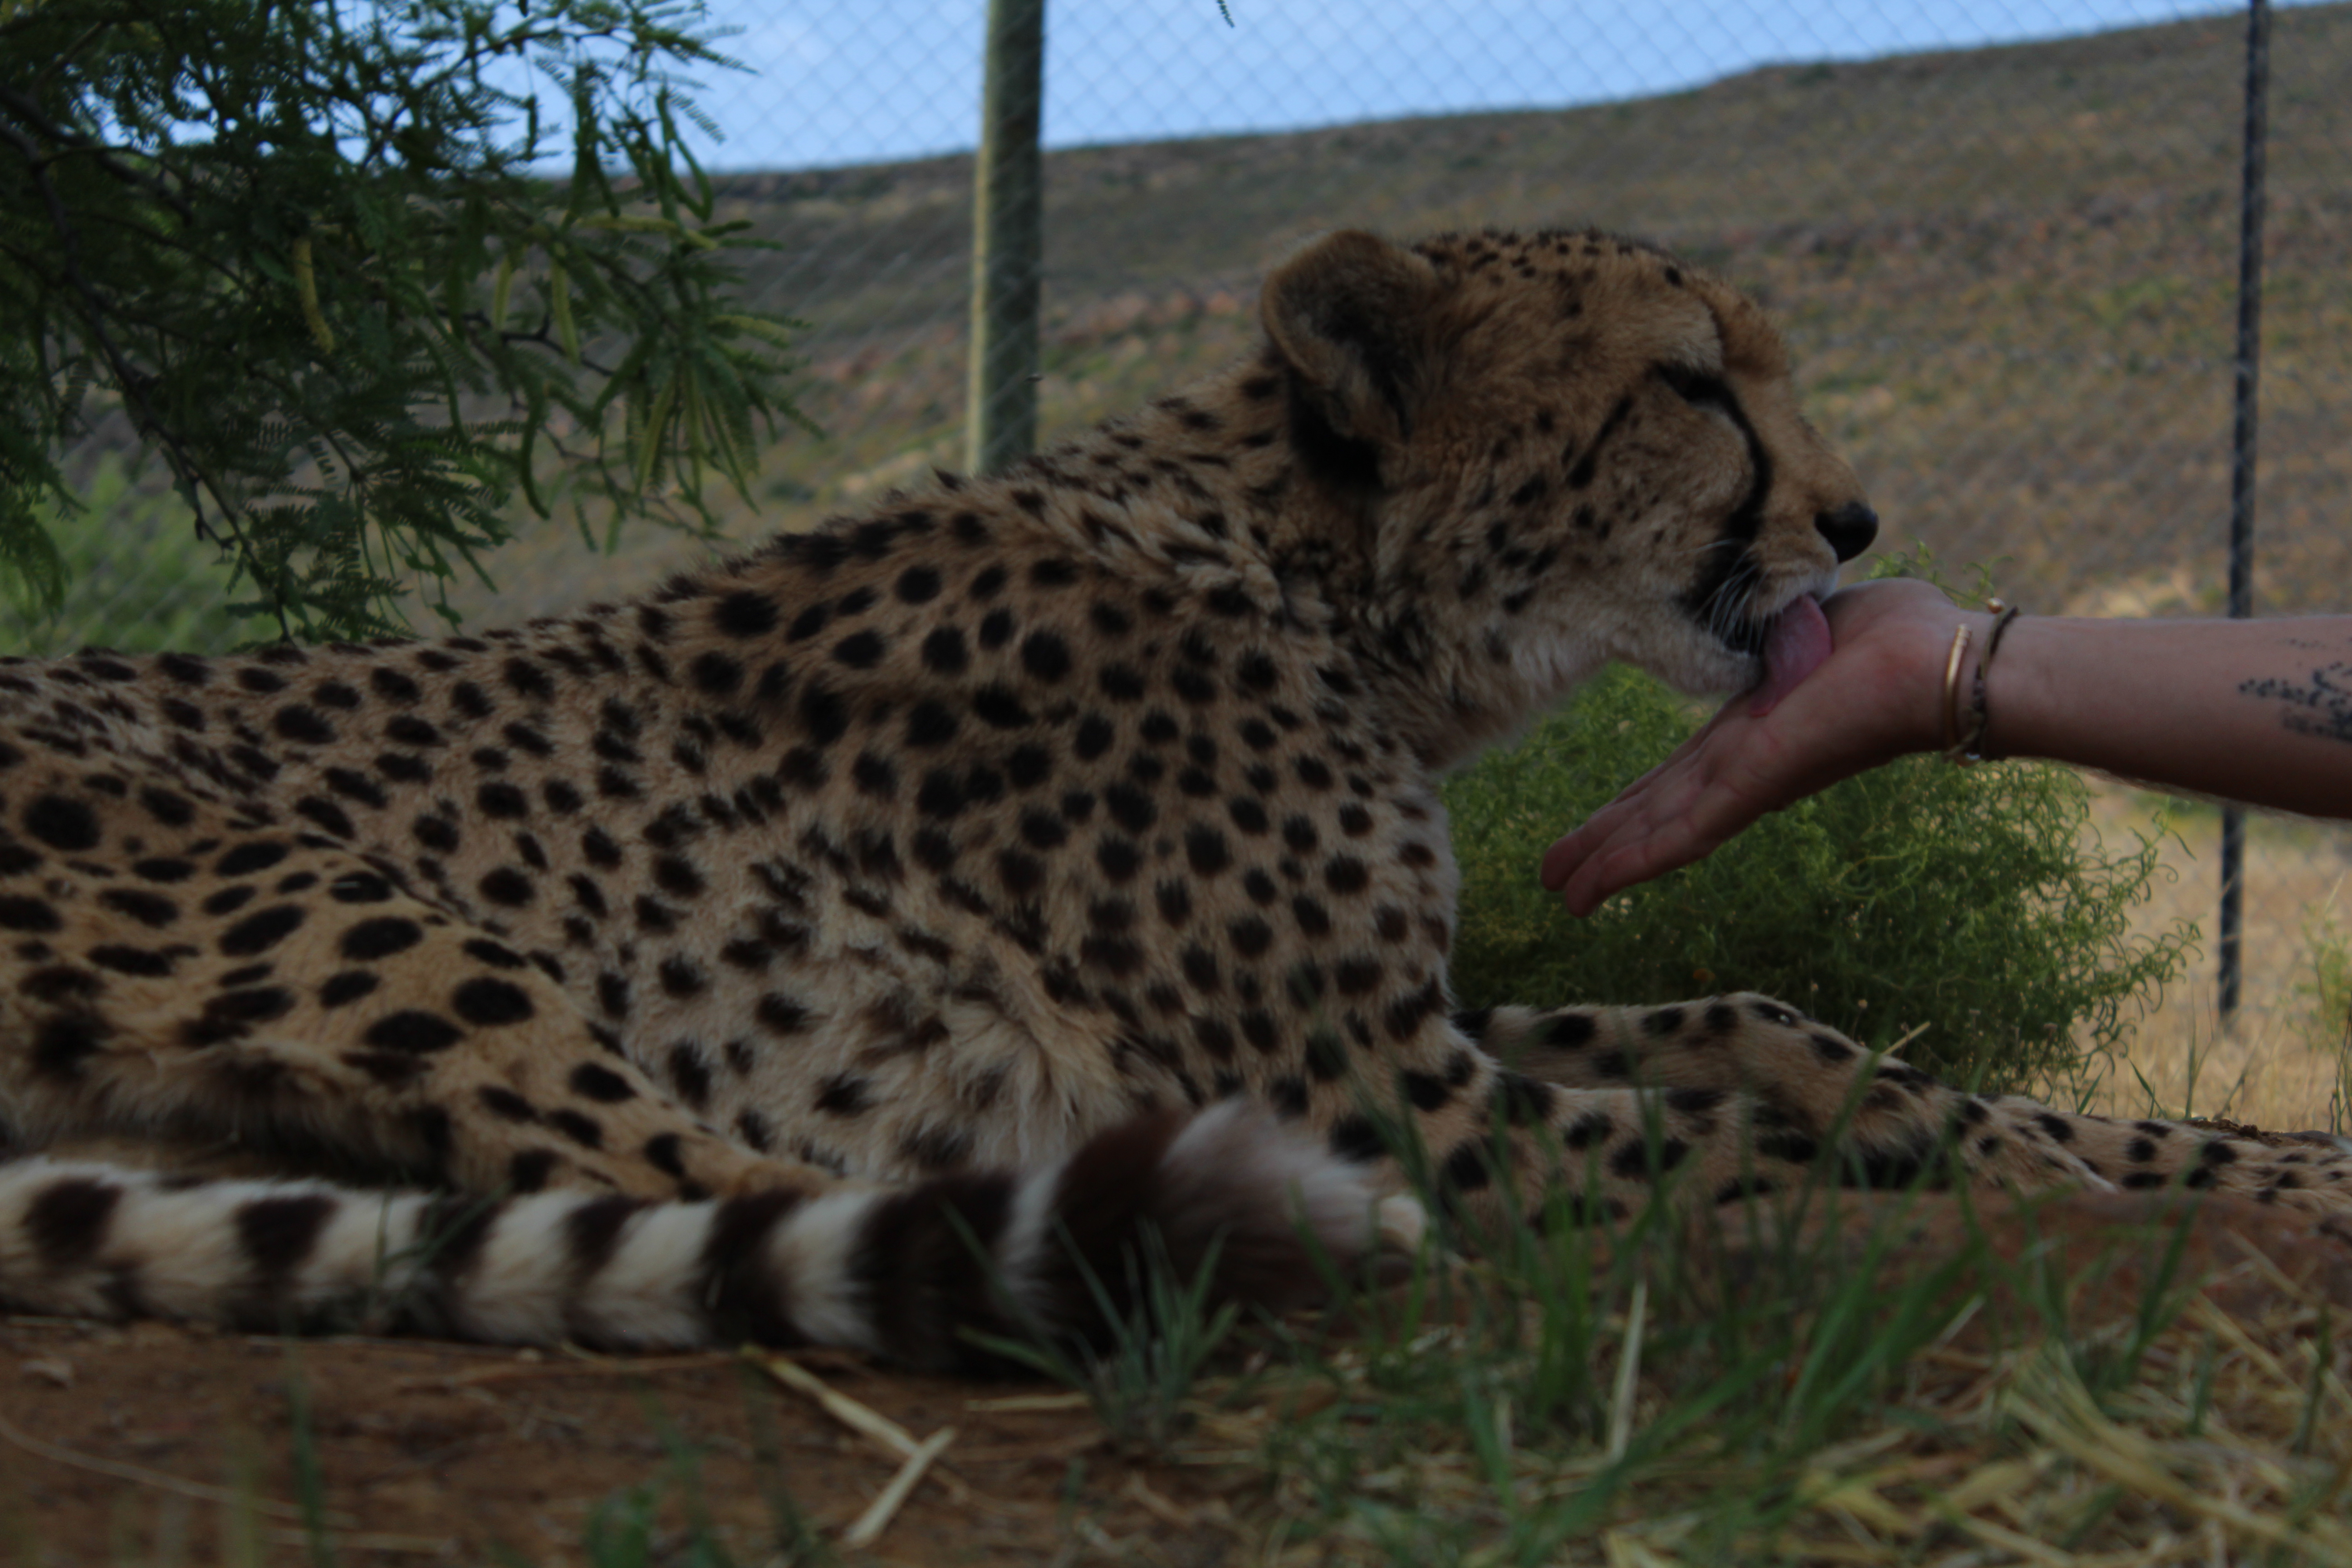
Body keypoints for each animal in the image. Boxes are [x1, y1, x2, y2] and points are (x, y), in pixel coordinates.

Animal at [4, 228, 2347, 1367]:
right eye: (1691, 383)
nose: (1856, 526)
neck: (1327, 585)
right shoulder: (1375, 1080)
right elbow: (1799, 1128)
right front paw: (2131, 1189)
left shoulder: (1426, 1017)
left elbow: (1792, 1033)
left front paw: (2240, 1153)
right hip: (333, 894)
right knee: (714, 1195)